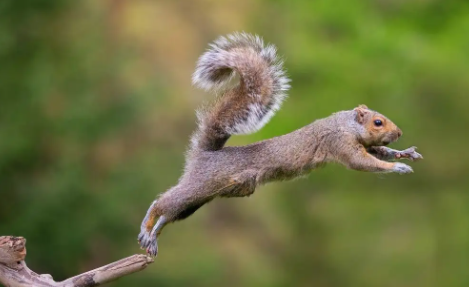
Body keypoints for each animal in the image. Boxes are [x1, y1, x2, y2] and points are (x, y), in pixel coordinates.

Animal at [137, 33, 422, 256]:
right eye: (378, 122)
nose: (399, 132)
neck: (347, 124)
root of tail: (205, 153)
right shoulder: (339, 142)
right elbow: (363, 162)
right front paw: (397, 168)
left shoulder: (362, 143)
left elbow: (378, 151)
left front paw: (404, 153)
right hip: (201, 184)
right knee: (163, 202)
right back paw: (147, 224)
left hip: (202, 197)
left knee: (172, 212)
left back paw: (154, 233)